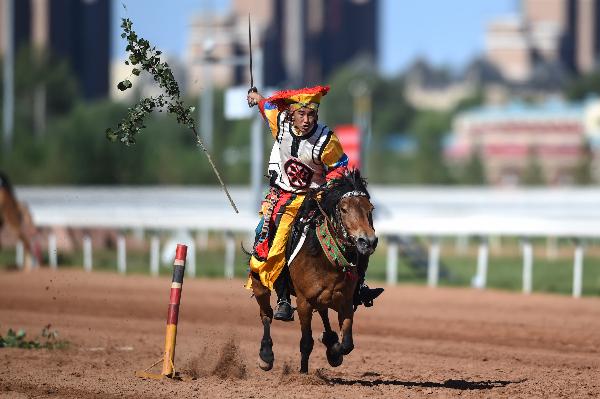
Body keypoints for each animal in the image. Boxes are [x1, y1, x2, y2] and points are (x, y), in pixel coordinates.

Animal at [251, 171, 378, 376]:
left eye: (370, 208)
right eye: (343, 209)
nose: (367, 242)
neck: (326, 259)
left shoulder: (346, 302)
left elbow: (347, 344)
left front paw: (333, 351)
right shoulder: (305, 302)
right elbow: (306, 342)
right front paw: (303, 373)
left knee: (324, 313)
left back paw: (329, 339)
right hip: (260, 281)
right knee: (266, 315)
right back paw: (266, 355)